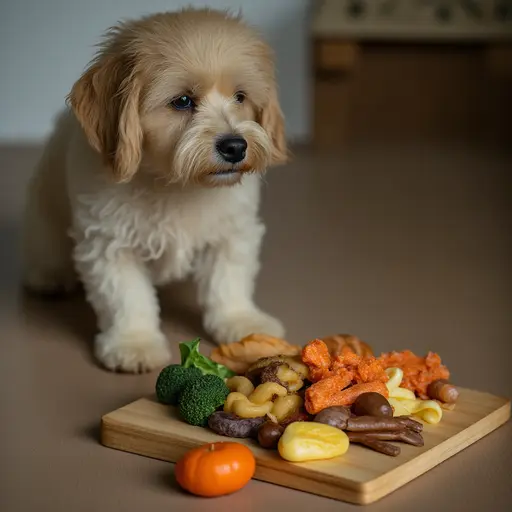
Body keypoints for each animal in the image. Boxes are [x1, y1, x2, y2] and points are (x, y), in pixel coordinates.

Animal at [22, 8, 288, 372]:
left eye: (240, 97)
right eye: (182, 101)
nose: (236, 146)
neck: (175, 183)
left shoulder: (232, 231)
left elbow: (228, 281)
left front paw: (241, 320)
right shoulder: (109, 243)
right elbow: (127, 297)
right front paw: (133, 341)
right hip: (43, 207)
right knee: (46, 240)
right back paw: (49, 273)